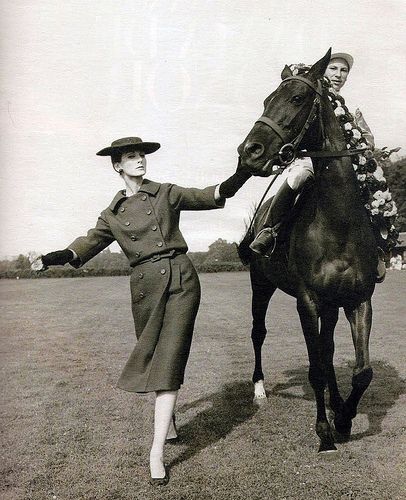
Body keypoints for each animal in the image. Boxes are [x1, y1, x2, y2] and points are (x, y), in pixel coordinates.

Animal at [236, 47, 380, 454]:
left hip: (332, 304)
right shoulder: (308, 301)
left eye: (298, 98)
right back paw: (259, 389)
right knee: (258, 332)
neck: (339, 224)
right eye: (267, 100)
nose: (249, 151)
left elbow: (362, 370)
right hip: (260, 286)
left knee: (328, 351)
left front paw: (344, 417)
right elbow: (315, 368)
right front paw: (325, 432)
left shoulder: (358, 299)